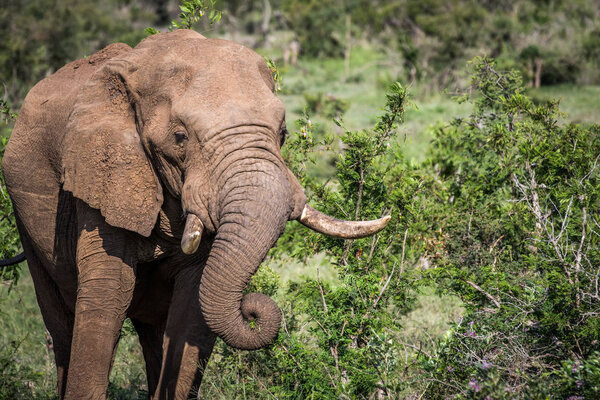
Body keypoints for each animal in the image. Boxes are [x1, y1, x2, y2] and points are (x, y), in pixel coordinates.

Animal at [2, 29, 392, 398]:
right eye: (180, 137)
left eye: (283, 133)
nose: (252, 309)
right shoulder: (102, 174)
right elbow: (108, 296)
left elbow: (192, 308)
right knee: (61, 325)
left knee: (153, 331)